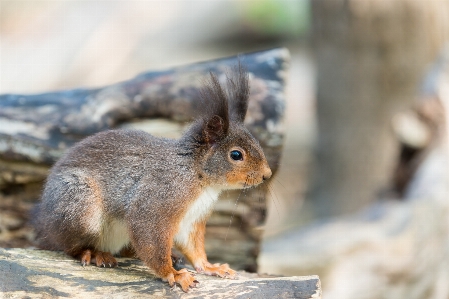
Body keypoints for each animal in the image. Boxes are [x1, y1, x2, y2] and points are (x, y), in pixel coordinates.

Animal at [32, 65, 270, 292]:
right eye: (236, 155)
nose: (267, 175)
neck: (198, 177)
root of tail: (45, 226)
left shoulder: (193, 217)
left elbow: (193, 247)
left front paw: (211, 267)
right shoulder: (158, 199)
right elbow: (151, 239)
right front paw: (173, 274)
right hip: (79, 204)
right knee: (69, 245)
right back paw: (93, 253)